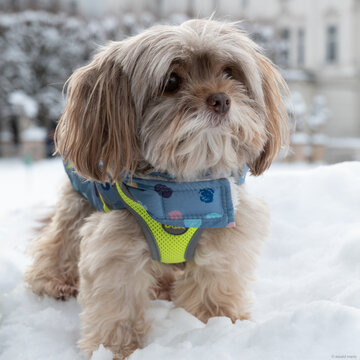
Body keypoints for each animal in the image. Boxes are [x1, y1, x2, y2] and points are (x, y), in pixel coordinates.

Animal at [24, 20, 290, 360]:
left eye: (229, 72)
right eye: (172, 81)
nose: (221, 99)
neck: (183, 189)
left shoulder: (226, 233)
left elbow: (214, 283)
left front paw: (219, 322)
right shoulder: (115, 247)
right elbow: (119, 301)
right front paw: (118, 349)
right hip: (79, 202)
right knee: (59, 243)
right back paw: (55, 281)